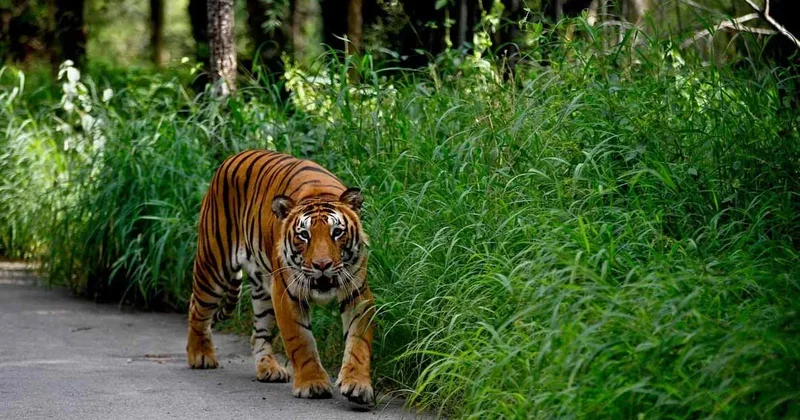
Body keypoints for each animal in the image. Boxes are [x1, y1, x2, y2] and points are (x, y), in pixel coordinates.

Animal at [185, 149, 375, 405]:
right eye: (304, 235)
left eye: (337, 232)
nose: (322, 265)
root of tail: (231, 157)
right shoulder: (287, 294)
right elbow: (301, 341)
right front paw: (312, 384)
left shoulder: (357, 293)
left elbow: (359, 343)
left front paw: (357, 385)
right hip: (213, 266)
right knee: (196, 308)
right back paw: (200, 355)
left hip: (263, 290)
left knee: (258, 334)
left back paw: (268, 369)